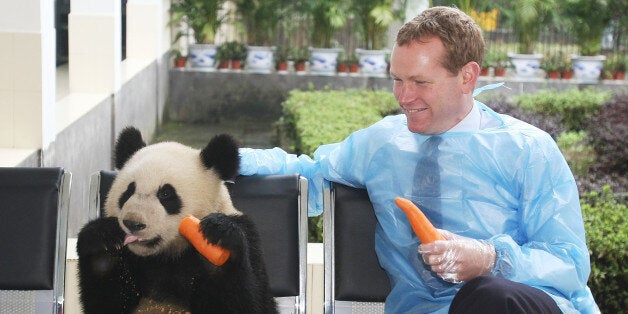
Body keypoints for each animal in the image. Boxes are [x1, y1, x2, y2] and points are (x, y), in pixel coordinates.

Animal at [76, 126, 278, 312]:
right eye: (129, 191)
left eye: (165, 194)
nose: (133, 223)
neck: (166, 254)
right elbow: (106, 302)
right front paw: (103, 241)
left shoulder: (249, 237)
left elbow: (251, 303)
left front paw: (218, 237)